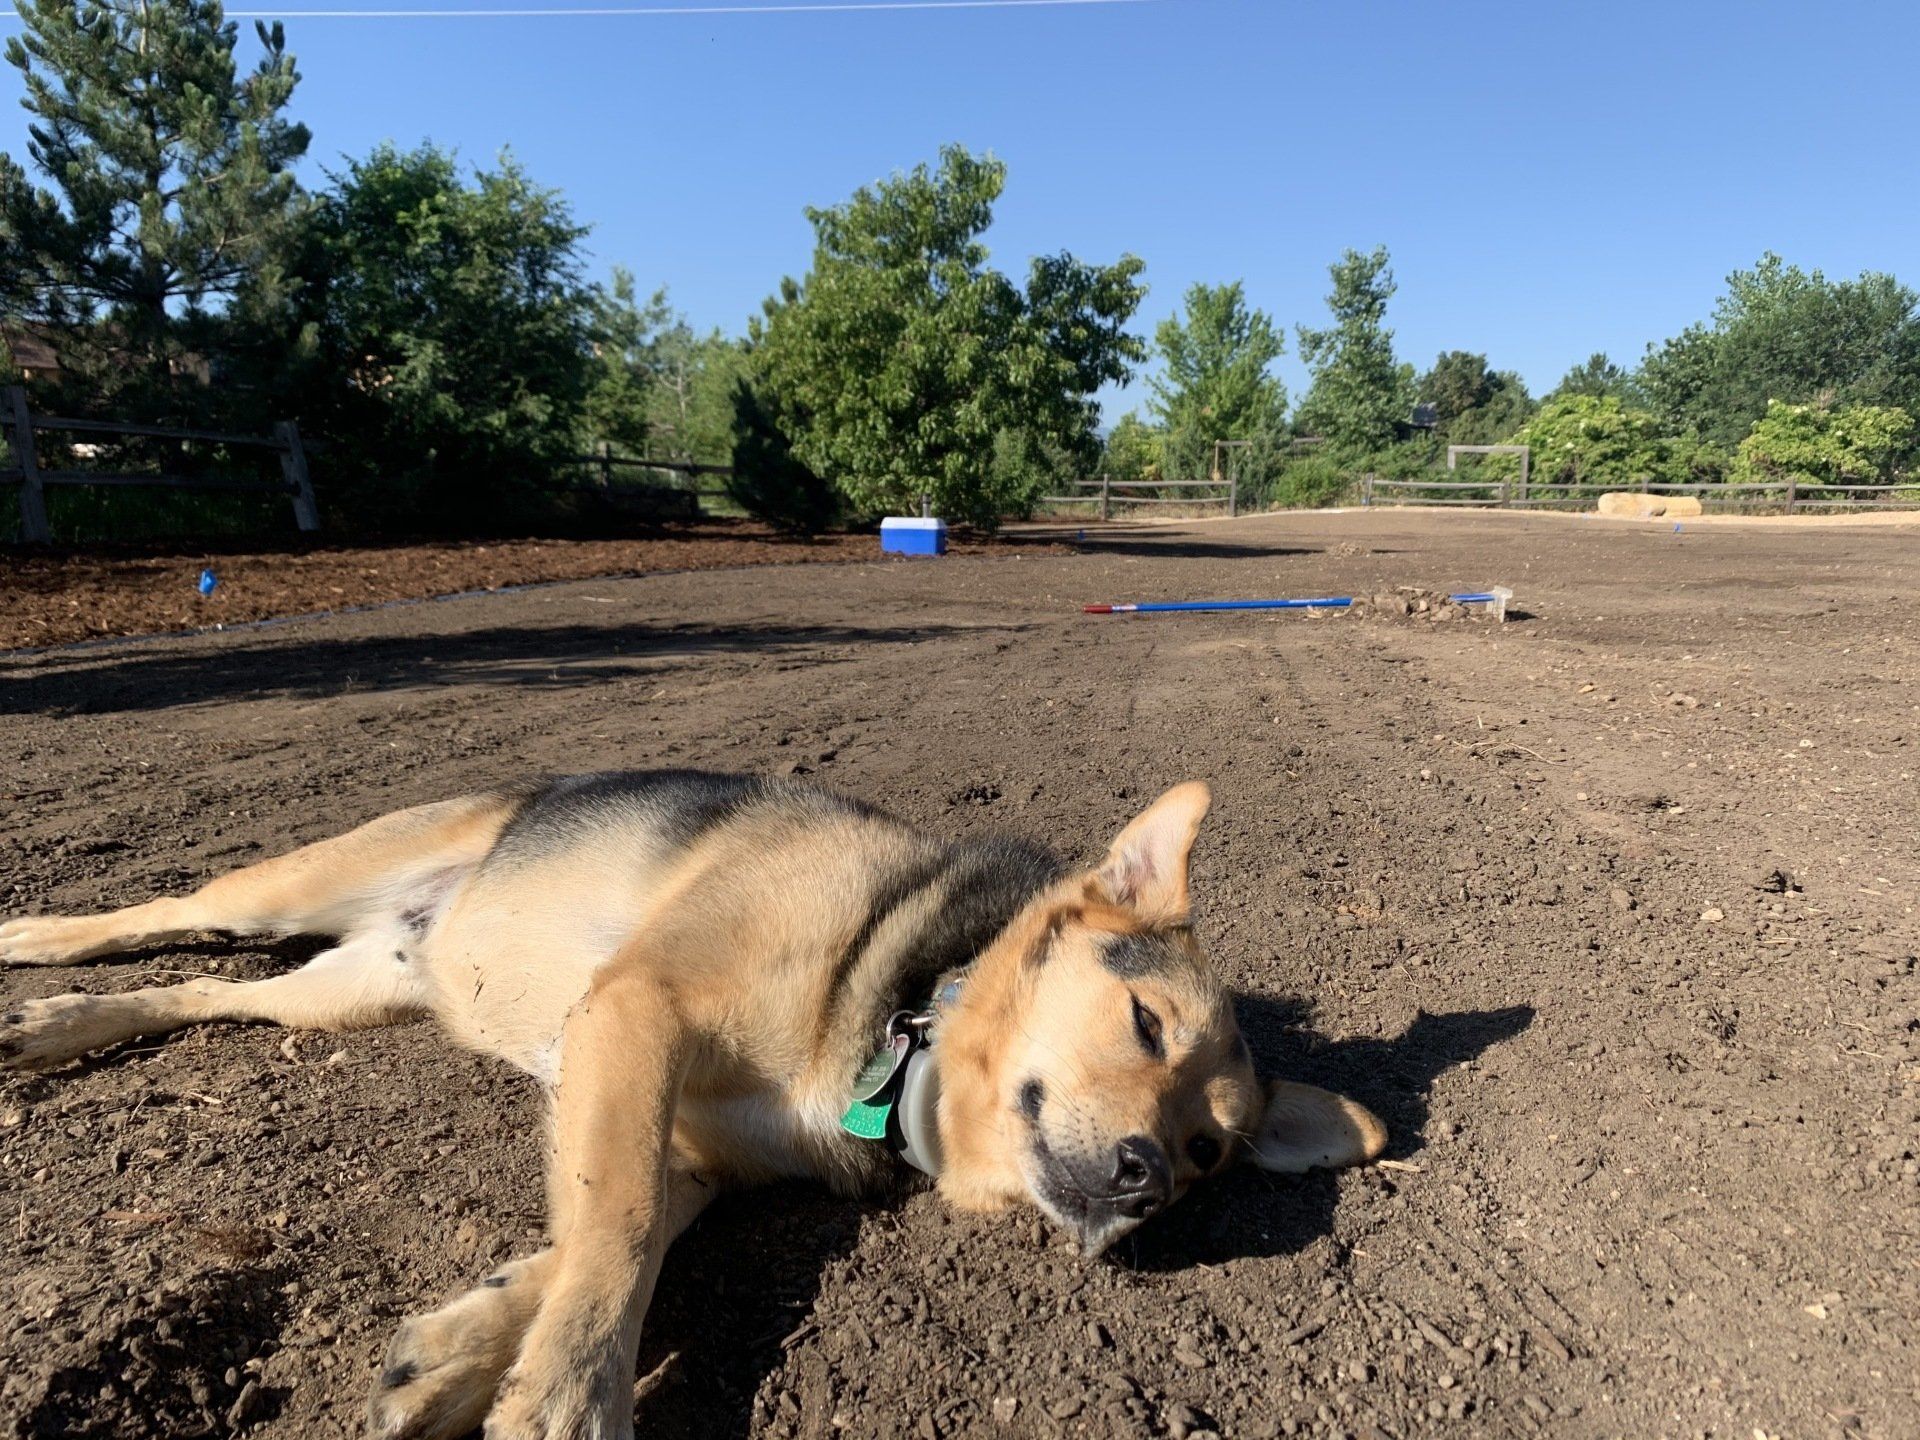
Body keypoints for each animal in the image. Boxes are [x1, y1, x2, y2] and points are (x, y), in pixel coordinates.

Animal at [0, 771, 1386, 1440]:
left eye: (1211, 1155)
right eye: (1144, 1023)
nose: (1152, 1179)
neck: (895, 1018)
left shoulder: (681, 1145)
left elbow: (589, 1241)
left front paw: (460, 1360)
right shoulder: (636, 1018)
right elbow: (612, 1245)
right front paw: (569, 1399)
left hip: (350, 994)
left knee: (202, 994)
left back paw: (58, 1029)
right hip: (293, 885)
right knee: (165, 916)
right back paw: (32, 948)